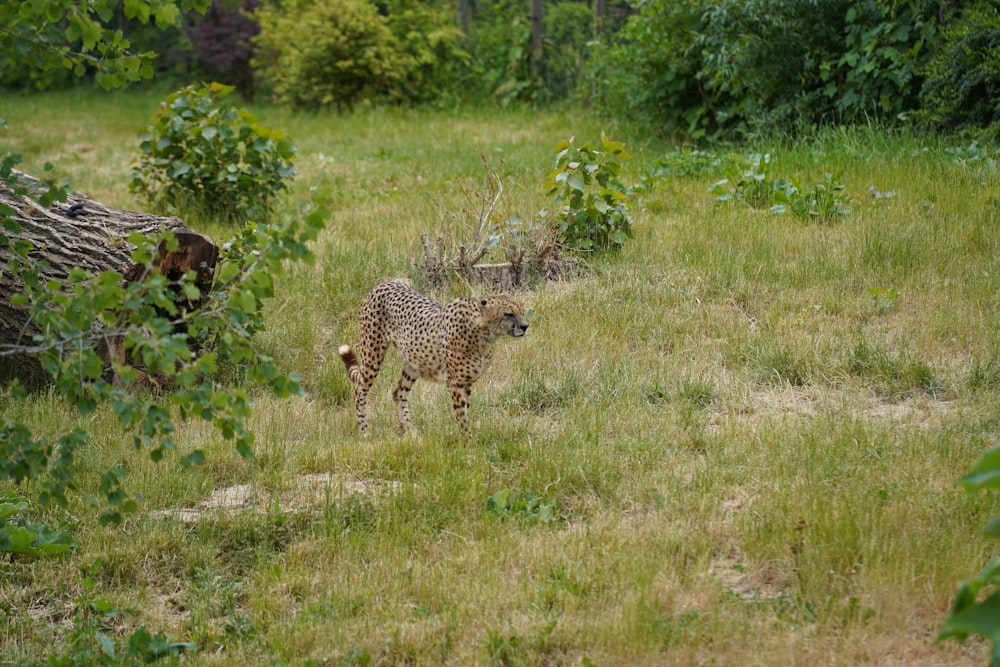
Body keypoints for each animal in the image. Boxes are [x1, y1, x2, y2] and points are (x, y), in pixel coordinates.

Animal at [338, 284, 532, 436]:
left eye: (522, 312)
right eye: (508, 314)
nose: (525, 326)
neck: (484, 334)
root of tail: (382, 285)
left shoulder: (467, 382)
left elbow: (466, 411)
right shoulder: (455, 382)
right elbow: (461, 415)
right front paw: (467, 443)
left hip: (414, 362)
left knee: (398, 392)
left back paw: (409, 431)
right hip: (372, 355)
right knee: (359, 391)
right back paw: (365, 431)